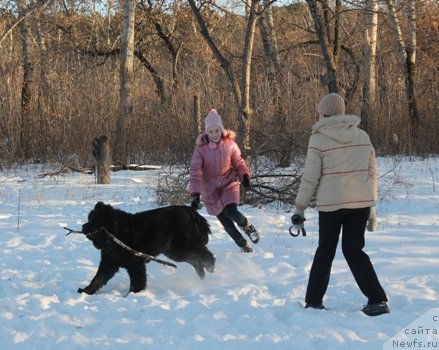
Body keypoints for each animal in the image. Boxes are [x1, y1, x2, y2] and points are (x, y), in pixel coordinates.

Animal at [80, 201, 217, 294]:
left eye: (93, 221)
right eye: (89, 219)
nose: (83, 227)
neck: (115, 233)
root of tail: (190, 211)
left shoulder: (135, 264)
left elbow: (137, 281)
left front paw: (134, 294)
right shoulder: (109, 262)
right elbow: (98, 278)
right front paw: (86, 291)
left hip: (181, 248)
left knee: (203, 254)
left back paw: (210, 266)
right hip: (174, 251)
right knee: (196, 258)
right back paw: (202, 273)